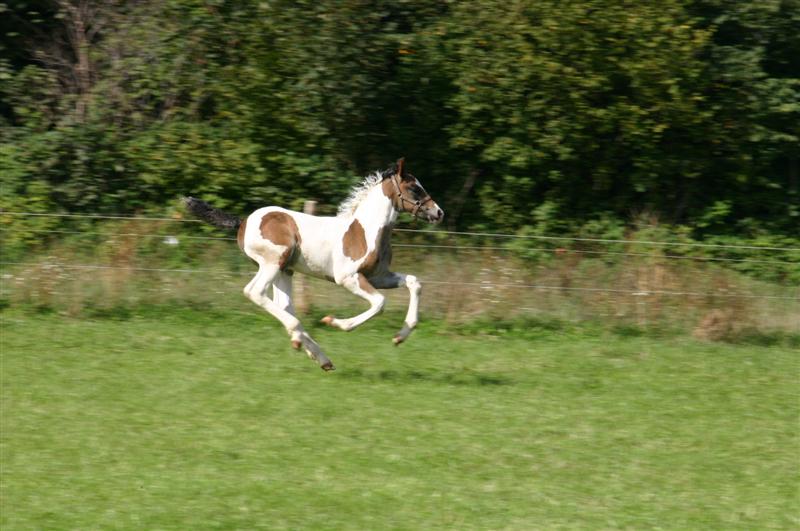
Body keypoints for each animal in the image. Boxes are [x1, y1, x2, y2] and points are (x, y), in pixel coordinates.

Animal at [184, 158, 444, 371]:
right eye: (414, 188)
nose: (438, 212)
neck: (365, 231)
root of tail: (243, 222)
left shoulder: (378, 276)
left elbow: (414, 282)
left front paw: (401, 336)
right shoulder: (348, 278)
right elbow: (379, 303)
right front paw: (336, 322)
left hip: (285, 270)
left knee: (284, 304)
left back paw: (316, 354)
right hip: (272, 262)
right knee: (255, 292)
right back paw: (305, 342)